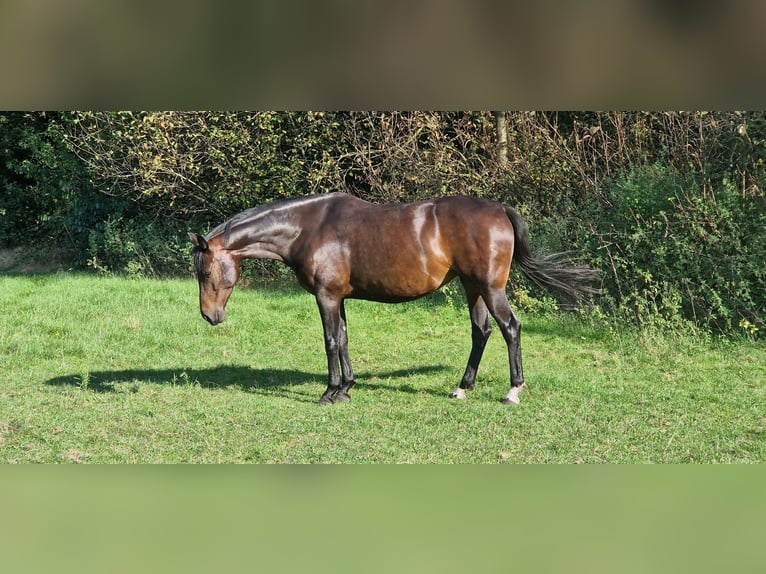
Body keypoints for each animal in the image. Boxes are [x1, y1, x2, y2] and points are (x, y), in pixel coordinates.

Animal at [190, 194, 600, 404]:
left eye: (205, 273)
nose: (210, 316)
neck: (308, 228)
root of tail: (499, 209)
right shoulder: (339, 297)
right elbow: (344, 340)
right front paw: (347, 389)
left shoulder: (326, 296)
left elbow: (330, 341)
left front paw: (330, 392)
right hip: (472, 287)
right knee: (481, 331)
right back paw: (462, 388)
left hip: (490, 286)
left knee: (510, 327)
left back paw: (513, 390)